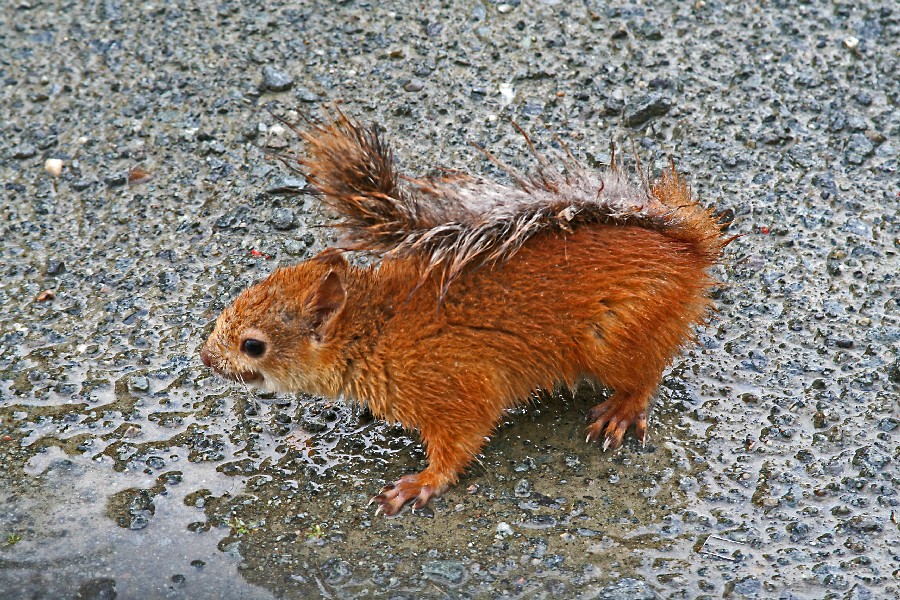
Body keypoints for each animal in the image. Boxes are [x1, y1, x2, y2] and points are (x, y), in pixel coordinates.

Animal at [199, 113, 732, 516]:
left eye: (253, 345)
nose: (205, 359)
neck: (374, 330)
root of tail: (688, 251)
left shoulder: (453, 387)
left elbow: (460, 442)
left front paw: (419, 484)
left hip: (617, 338)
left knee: (646, 376)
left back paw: (621, 410)